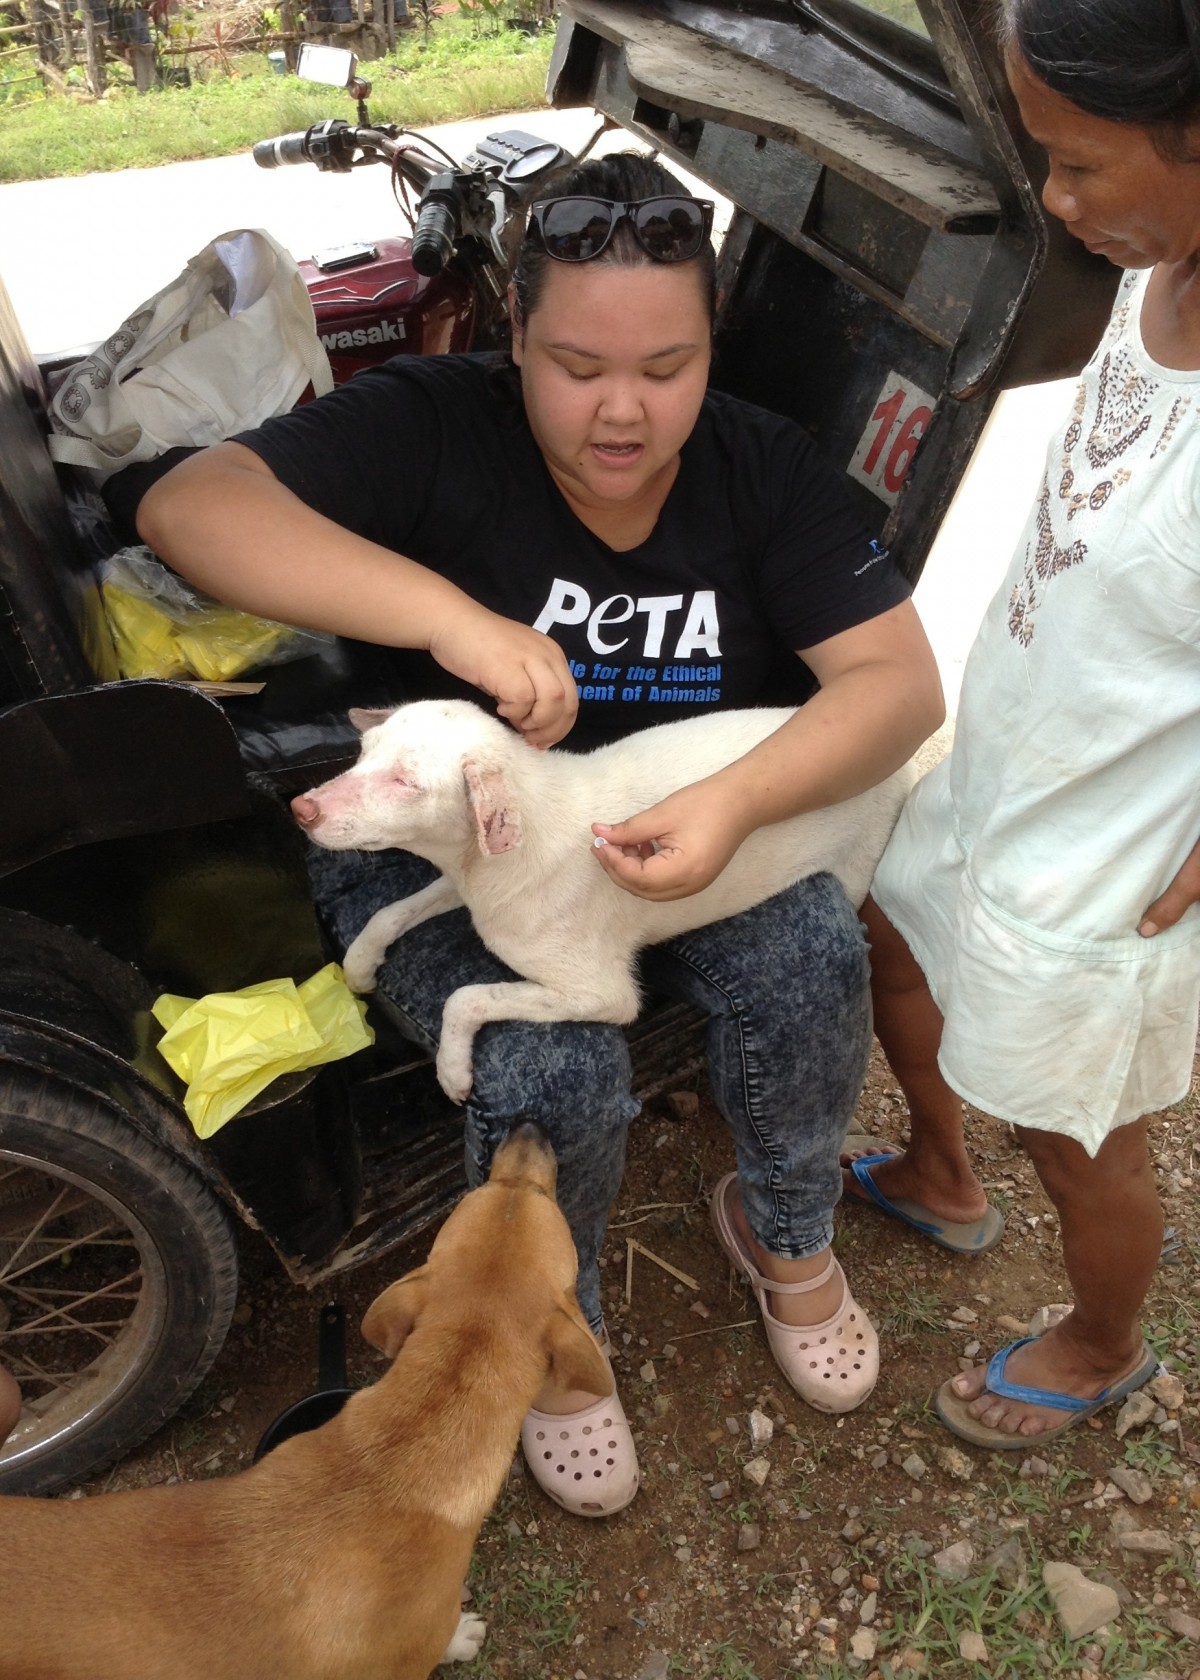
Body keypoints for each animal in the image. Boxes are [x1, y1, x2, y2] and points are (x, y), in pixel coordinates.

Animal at [289, 695, 907, 1102]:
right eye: (363, 751)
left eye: (407, 783)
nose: (301, 809)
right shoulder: (468, 884)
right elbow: (391, 910)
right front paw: (359, 965)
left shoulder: (602, 993)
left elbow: (466, 997)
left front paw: (453, 1070)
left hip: (857, 869)